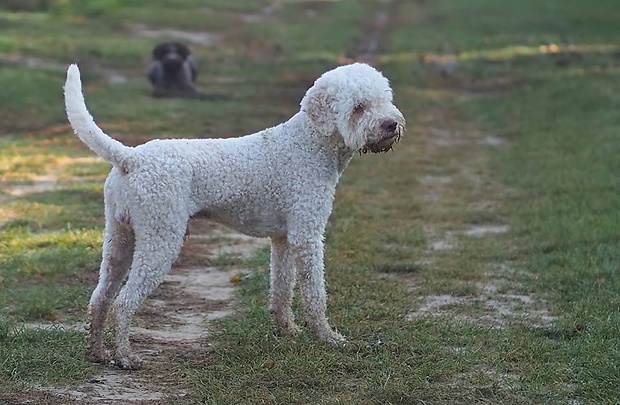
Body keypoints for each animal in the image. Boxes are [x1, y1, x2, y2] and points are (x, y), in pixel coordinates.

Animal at [63, 61, 404, 368]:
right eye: (359, 107)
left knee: (100, 298)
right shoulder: (307, 236)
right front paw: (327, 336)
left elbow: (282, 288)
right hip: (161, 239)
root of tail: (130, 157)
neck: (310, 143)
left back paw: (96, 352)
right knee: (123, 303)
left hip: (119, 238)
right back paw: (124, 356)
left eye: (385, 99)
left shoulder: (283, 239)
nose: (391, 124)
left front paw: (286, 330)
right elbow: (313, 291)